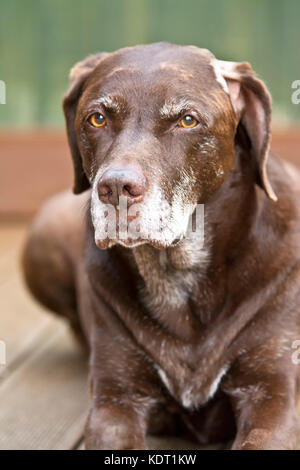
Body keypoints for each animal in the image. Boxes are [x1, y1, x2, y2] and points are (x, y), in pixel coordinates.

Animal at [22, 44, 300, 452]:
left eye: (187, 120)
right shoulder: (117, 400)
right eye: (97, 118)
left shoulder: (271, 395)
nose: (116, 188)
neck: (180, 275)